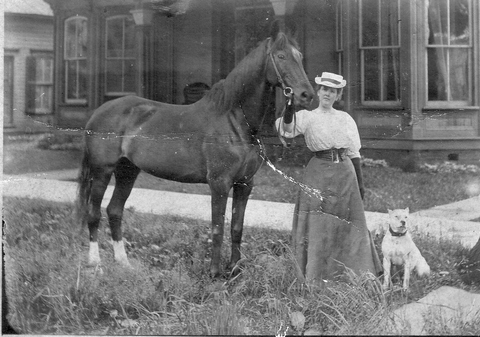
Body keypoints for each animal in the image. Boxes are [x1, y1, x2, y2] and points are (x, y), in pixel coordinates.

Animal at [77, 22, 314, 276]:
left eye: (300, 56)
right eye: (281, 56)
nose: (307, 95)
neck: (234, 120)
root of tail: (98, 113)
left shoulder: (245, 184)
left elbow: (237, 227)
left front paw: (234, 269)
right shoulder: (219, 184)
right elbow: (217, 228)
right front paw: (215, 273)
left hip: (127, 171)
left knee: (114, 211)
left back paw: (124, 263)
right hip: (102, 171)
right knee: (93, 213)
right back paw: (95, 263)